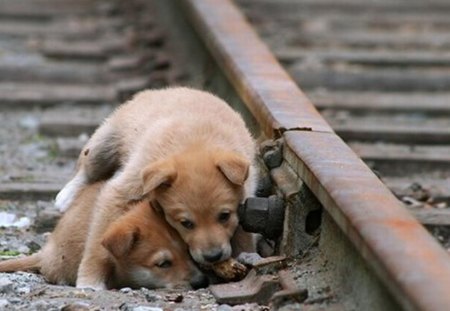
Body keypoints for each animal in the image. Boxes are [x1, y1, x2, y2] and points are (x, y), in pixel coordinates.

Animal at [55, 88, 260, 290]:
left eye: (224, 216)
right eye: (186, 223)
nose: (213, 256)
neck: (196, 143)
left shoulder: (245, 197)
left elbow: (244, 234)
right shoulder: (124, 189)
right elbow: (98, 241)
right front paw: (90, 280)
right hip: (107, 141)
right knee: (87, 166)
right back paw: (65, 197)